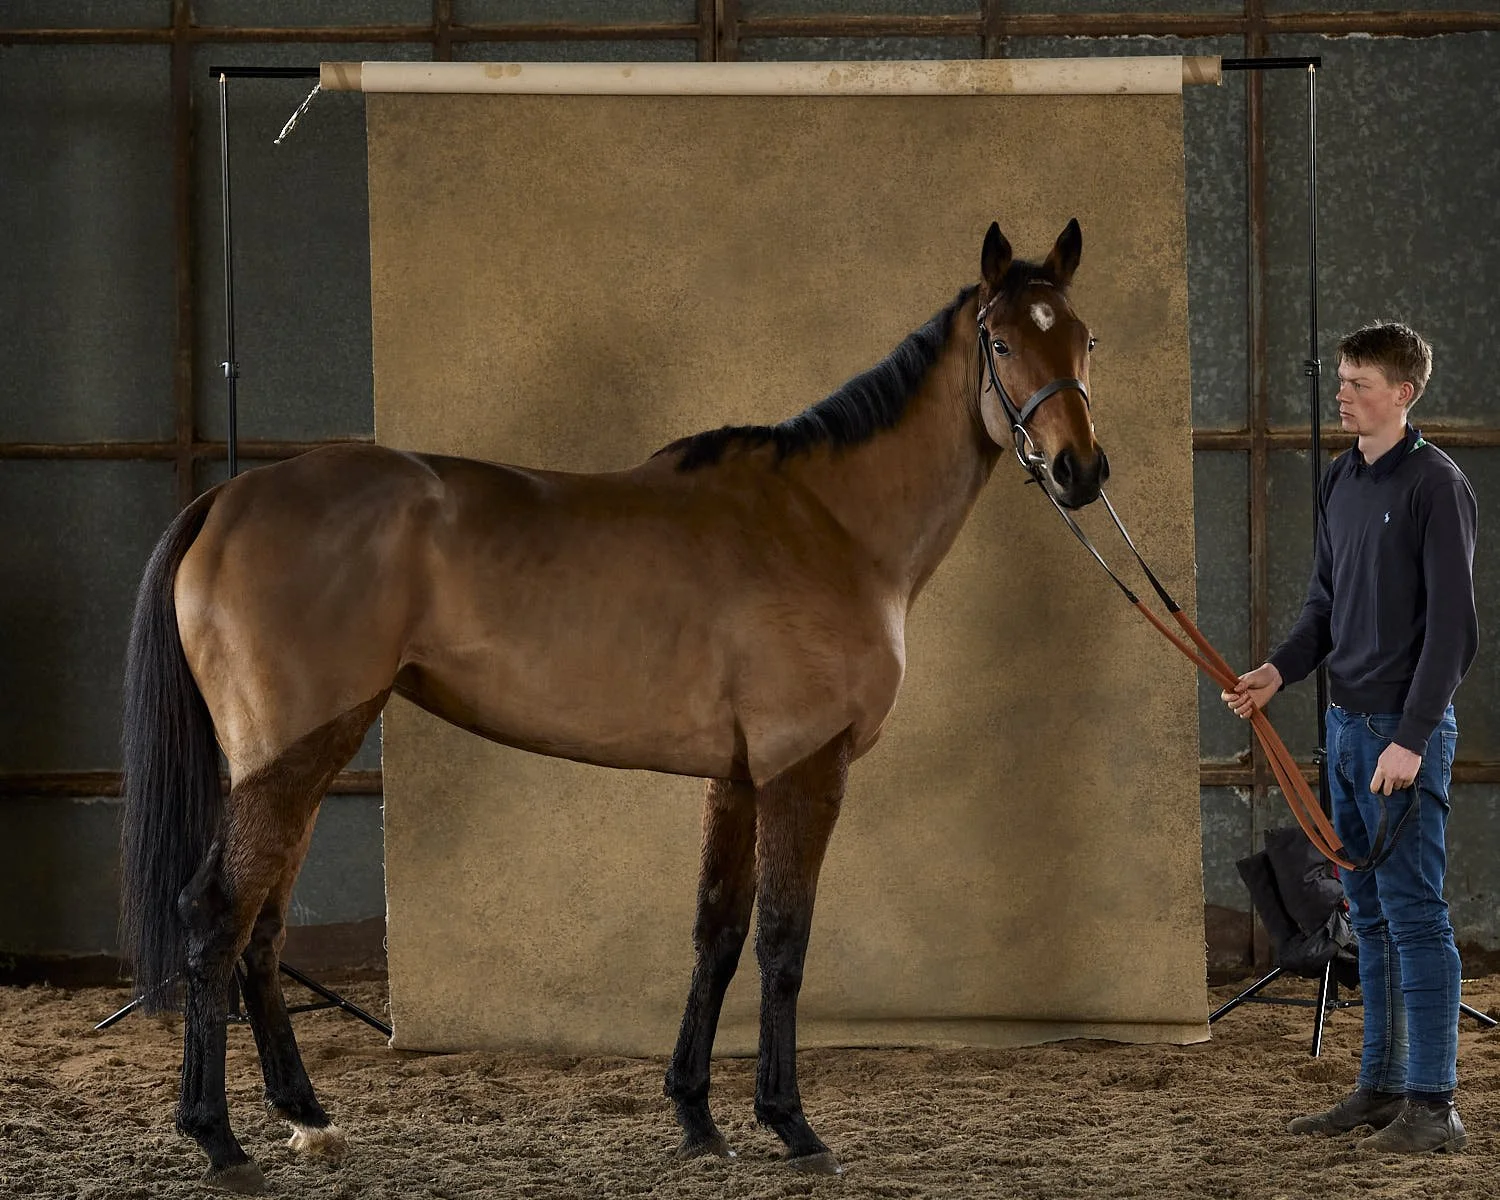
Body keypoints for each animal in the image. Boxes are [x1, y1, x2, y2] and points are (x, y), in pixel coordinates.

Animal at [118, 219, 1107, 1192]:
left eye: (1084, 337)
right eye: (1003, 341)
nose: (1080, 469)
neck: (828, 521)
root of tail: (228, 495)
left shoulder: (738, 775)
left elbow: (717, 933)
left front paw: (699, 1120)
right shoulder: (803, 764)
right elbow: (783, 943)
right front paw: (792, 1126)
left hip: (300, 756)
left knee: (262, 924)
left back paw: (307, 1118)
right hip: (291, 753)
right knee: (218, 912)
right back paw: (218, 1140)